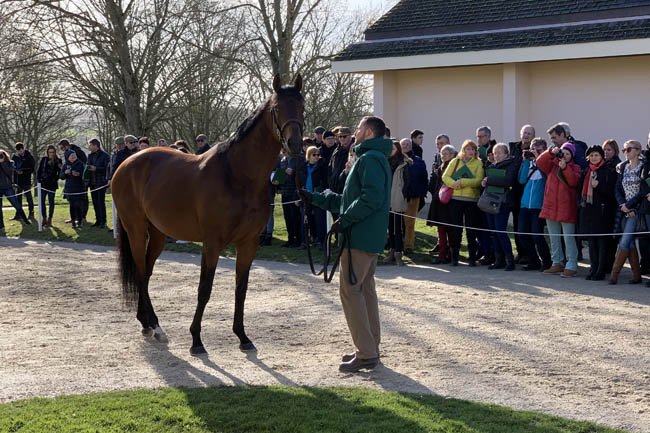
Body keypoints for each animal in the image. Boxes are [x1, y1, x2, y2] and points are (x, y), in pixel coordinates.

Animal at [111, 74, 304, 355]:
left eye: (302, 107)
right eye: (277, 109)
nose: (295, 145)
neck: (237, 175)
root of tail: (127, 163)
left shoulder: (249, 243)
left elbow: (241, 289)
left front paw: (242, 336)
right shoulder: (212, 243)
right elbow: (205, 289)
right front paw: (196, 340)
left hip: (157, 234)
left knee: (145, 274)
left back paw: (147, 324)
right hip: (136, 230)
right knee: (139, 272)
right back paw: (156, 326)